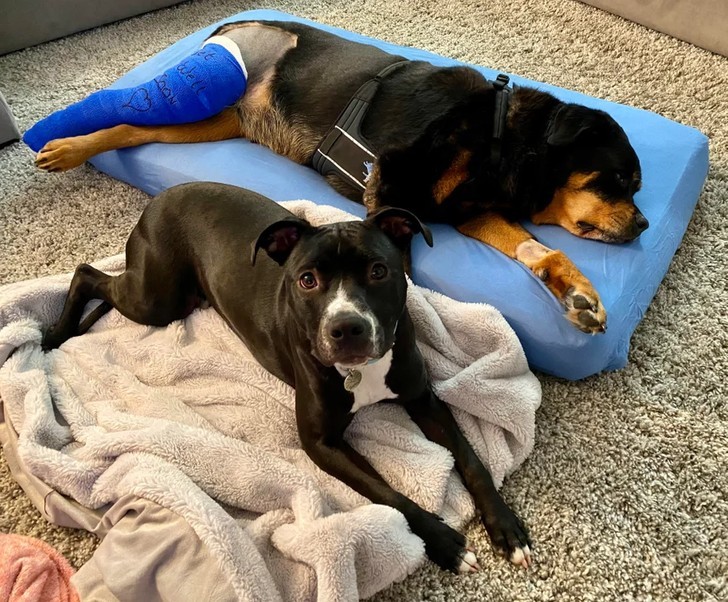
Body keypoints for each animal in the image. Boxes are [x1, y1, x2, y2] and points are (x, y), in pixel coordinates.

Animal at [34, 19, 647, 334]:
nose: (643, 226)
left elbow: (536, 248)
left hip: (212, 121)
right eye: (619, 180)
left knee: (136, 129)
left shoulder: (468, 211)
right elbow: (405, 265)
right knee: (125, 119)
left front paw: (577, 292)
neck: (502, 139)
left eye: (636, 188)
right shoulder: (394, 187)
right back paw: (62, 146)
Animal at [42, 182, 532, 572]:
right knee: (87, 274)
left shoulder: (423, 398)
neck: (362, 372)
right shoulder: (321, 443)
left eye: (379, 271)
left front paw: (506, 527)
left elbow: (471, 459)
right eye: (307, 280)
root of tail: (163, 197)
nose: (346, 328)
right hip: (157, 299)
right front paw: (446, 543)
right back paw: (55, 334)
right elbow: (391, 494)